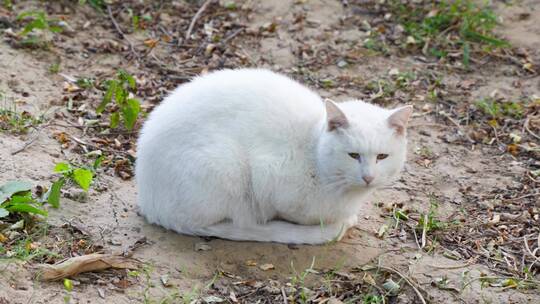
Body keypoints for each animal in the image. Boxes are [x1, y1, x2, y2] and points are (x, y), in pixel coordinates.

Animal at [136, 68, 414, 245]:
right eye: (353, 155)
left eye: (382, 156)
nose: (368, 177)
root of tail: (150, 204)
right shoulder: (268, 172)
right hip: (226, 166)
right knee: (236, 224)